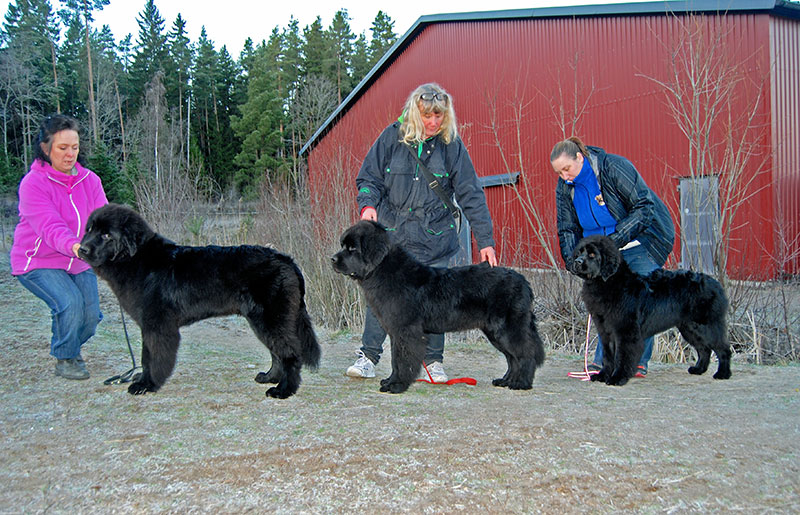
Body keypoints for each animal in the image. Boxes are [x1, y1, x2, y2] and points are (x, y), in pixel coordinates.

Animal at [78, 203, 320, 399]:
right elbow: (146, 355)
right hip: (264, 320)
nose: (81, 249)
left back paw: (284, 390)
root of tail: (287, 260)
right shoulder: (149, 325)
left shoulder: (157, 325)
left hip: (270, 318)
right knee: (276, 352)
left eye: (107, 235)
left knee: (290, 354)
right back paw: (270, 377)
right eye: (89, 230)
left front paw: (146, 384)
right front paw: (144, 381)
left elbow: (151, 357)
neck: (136, 258)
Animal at [331, 220, 545, 394]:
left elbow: (401, 359)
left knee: (524, 354)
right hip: (495, 332)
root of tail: (523, 281)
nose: (332, 259)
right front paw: (390, 381)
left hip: (507, 328)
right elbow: (395, 359)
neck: (384, 270)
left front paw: (397, 385)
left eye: (352, 248)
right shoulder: (396, 332)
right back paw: (506, 381)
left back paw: (521, 383)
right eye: (343, 245)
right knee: (512, 358)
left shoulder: (406, 330)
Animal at [571, 234, 732, 386]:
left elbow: (622, 356)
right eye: (580, 252)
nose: (577, 261)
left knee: (723, 348)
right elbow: (608, 356)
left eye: (592, 254)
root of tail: (716, 284)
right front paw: (603, 375)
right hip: (689, 327)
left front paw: (618, 377)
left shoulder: (626, 331)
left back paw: (722, 373)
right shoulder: (606, 331)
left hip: (705, 325)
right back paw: (698, 369)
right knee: (704, 349)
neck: (609, 283)